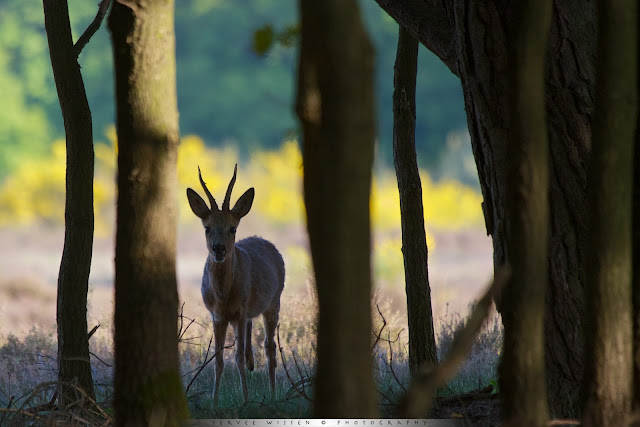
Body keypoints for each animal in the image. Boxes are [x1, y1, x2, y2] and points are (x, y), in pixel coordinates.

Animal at [186, 166, 284, 402]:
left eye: (233, 228)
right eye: (207, 228)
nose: (219, 249)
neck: (223, 294)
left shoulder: (239, 312)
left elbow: (237, 357)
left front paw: (246, 399)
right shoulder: (217, 315)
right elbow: (218, 359)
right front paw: (214, 400)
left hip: (274, 301)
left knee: (270, 347)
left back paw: (273, 392)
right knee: (251, 337)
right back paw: (252, 365)